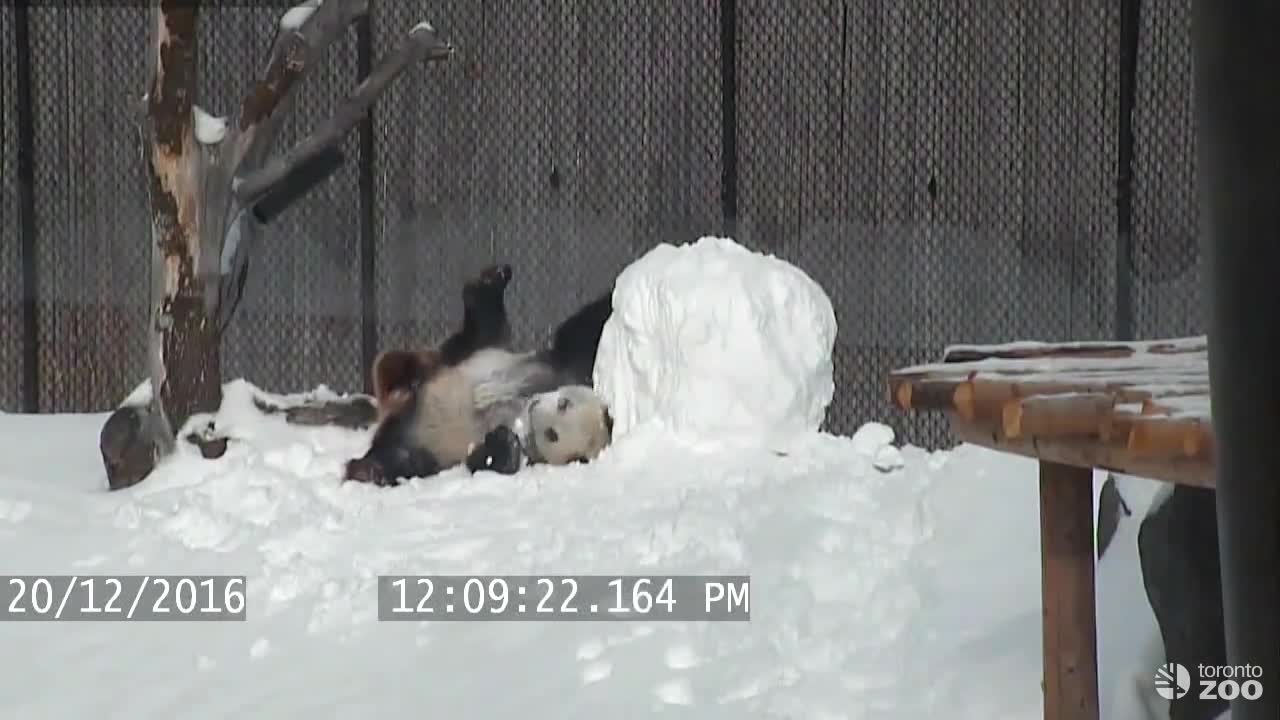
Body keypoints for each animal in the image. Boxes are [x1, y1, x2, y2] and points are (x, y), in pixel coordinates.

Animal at [345, 260, 614, 484]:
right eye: (563, 403)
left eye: (552, 434)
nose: (535, 409)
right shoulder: (568, 367)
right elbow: (581, 332)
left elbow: (485, 462)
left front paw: (502, 444)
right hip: (467, 358)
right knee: (475, 331)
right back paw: (490, 281)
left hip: (429, 452)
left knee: (404, 460)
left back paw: (370, 470)